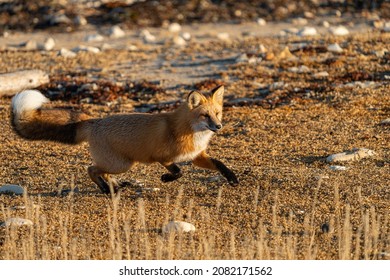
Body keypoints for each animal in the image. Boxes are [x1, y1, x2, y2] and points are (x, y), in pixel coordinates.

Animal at [10, 85, 238, 194]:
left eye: (217, 114)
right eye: (205, 116)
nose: (218, 126)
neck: (188, 131)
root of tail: (95, 121)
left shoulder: (197, 156)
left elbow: (219, 163)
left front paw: (232, 178)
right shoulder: (162, 157)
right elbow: (178, 172)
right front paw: (166, 179)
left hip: (118, 164)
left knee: (101, 172)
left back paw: (115, 187)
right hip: (122, 163)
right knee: (91, 169)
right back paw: (107, 190)